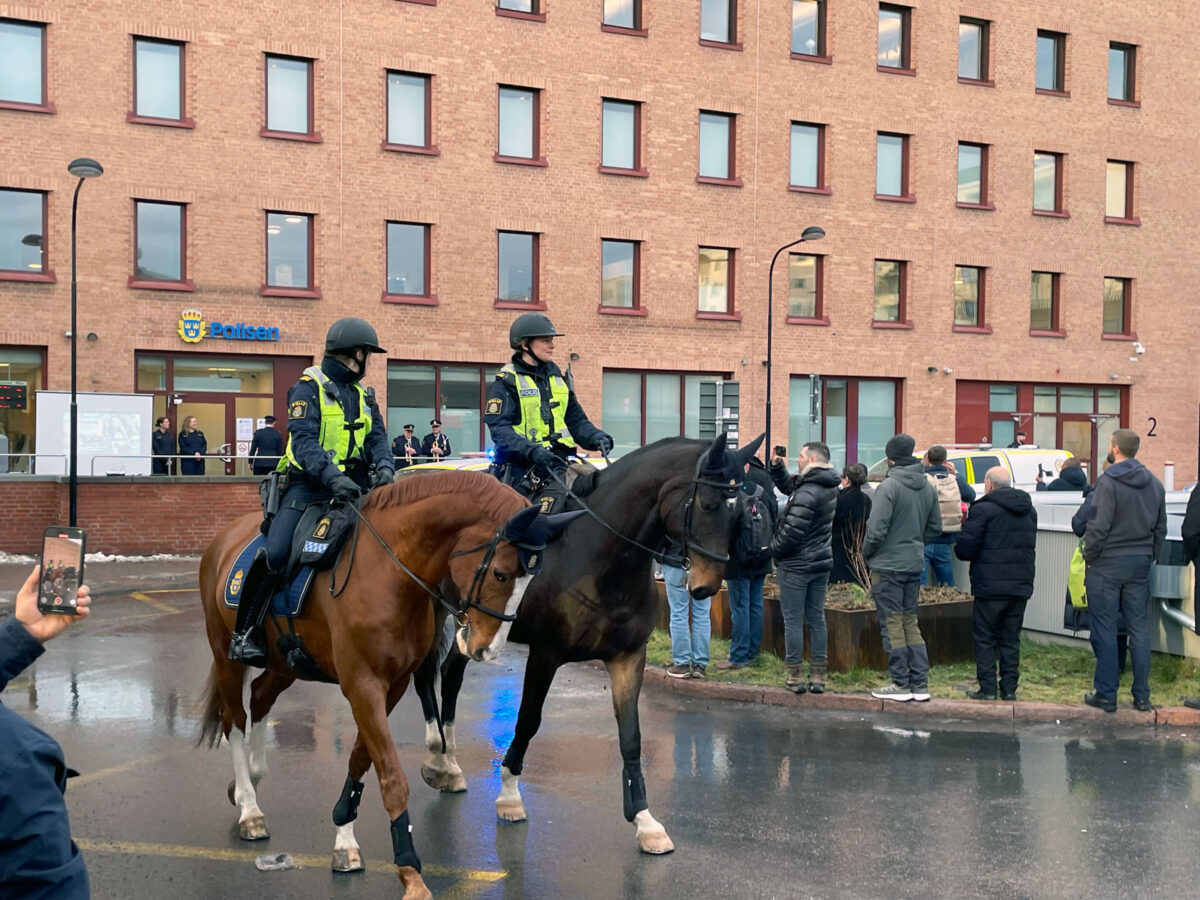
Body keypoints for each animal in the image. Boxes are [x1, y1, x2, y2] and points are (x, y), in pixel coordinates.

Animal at [199, 472, 564, 900]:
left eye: (530, 579)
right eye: (501, 574)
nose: (487, 649)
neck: (388, 572)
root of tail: (223, 539)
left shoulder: (392, 685)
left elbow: (361, 757)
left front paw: (344, 836)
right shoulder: (363, 685)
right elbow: (390, 775)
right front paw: (409, 870)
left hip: (284, 665)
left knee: (259, 699)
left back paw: (254, 777)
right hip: (226, 657)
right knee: (234, 721)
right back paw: (249, 806)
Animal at [417, 434, 763, 854]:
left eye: (741, 511)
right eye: (708, 504)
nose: (707, 586)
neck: (602, 559)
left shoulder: (628, 658)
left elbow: (631, 737)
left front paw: (645, 820)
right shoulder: (545, 654)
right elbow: (528, 720)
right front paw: (510, 795)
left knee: (450, 674)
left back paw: (449, 763)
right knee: (426, 677)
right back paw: (438, 757)